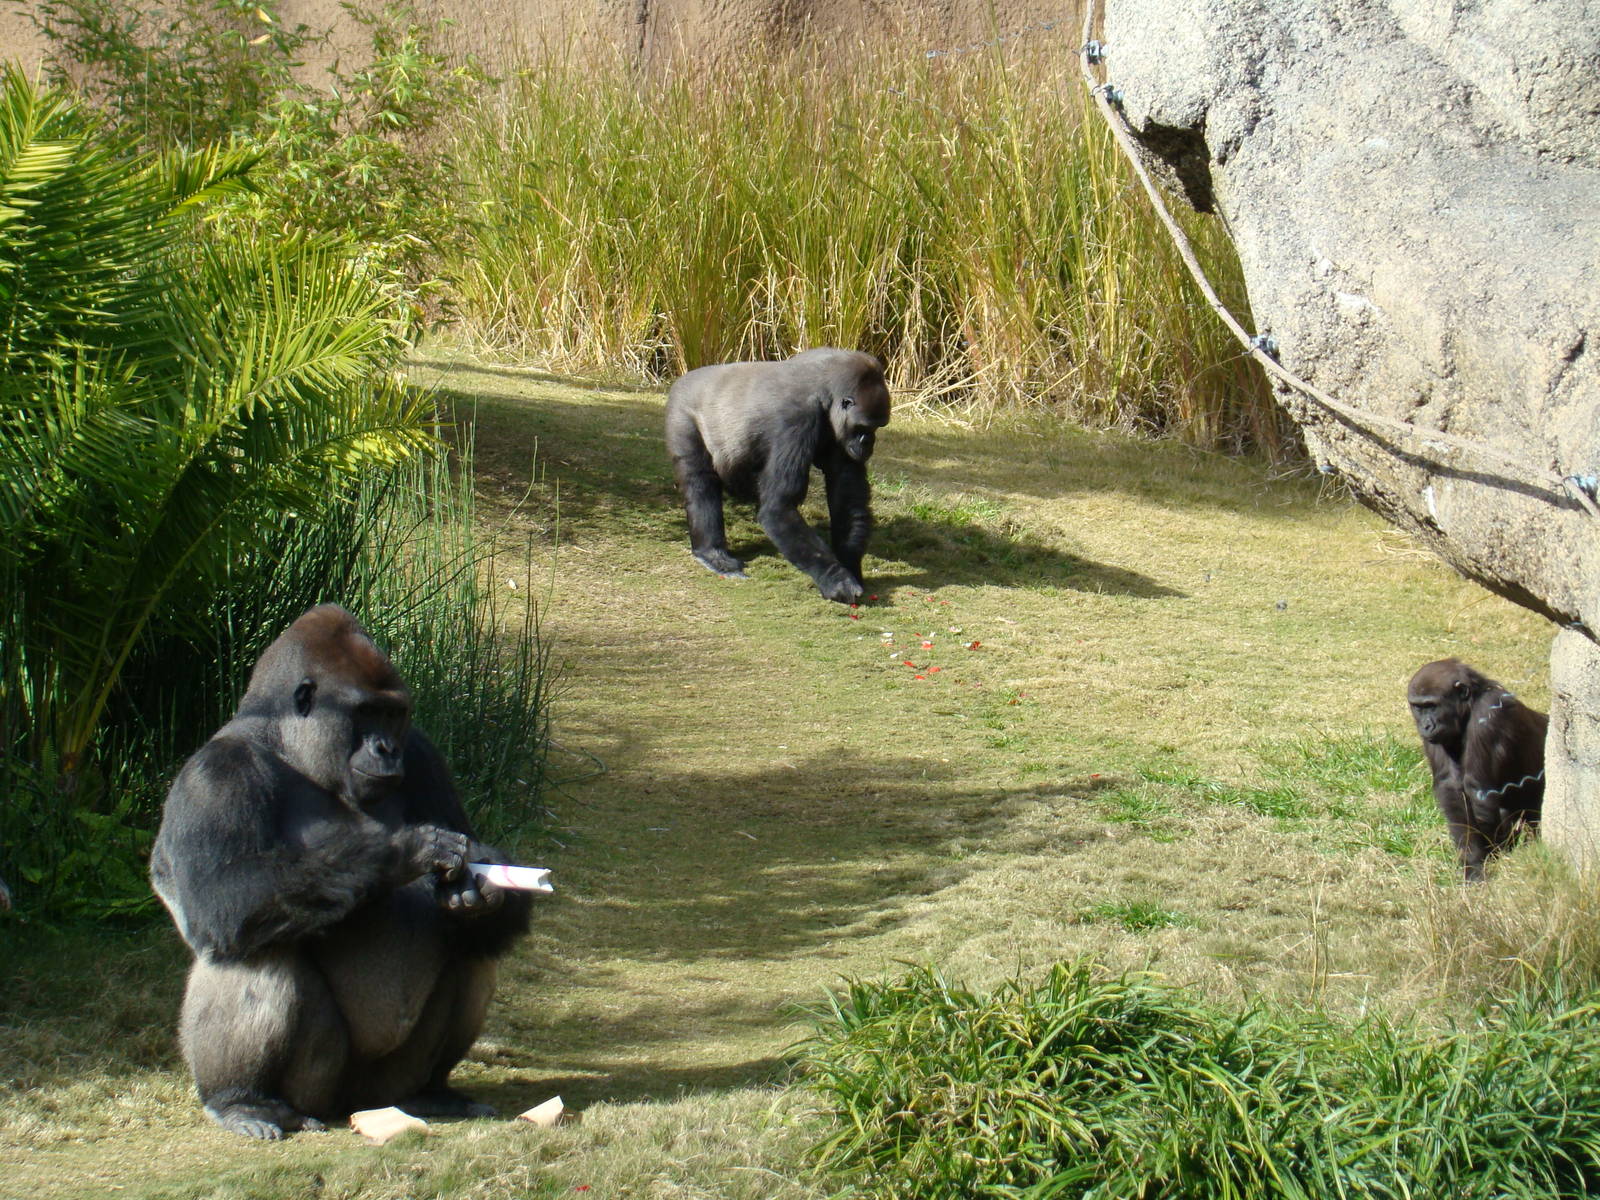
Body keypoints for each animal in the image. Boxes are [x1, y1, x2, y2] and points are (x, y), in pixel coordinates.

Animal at [149, 604, 533, 1139]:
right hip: (317, 1090)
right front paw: (400, 851)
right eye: (365, 713)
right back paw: (242, 1100)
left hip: (386, 1084)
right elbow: (220, 900)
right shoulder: (214, 775)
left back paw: (432, 1090)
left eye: (393, 714)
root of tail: (354, 1105)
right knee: (255, 946)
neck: (291, 749)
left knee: (473, 951)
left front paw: (479, 895)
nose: (386, 749)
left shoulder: (423, 751)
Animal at [665, 347, 891, 605]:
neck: (826, 394)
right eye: (864, 428)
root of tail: (681, 380)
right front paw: (836, 579)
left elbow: (847, 499)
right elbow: (779, 507)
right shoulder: (796, 420)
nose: (868, 444)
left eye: (877, 427)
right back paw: (712, 553)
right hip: (681, 413)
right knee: (700, 484)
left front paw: (850, 567)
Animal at [1408, 658, 1547, 881]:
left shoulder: (1489, 714)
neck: (1470, 704)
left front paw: (1482, 861)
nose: (1426, 726)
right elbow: (1451, 789)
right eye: (1418, 707)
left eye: (1431, 705)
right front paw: (1472, 861)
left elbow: (1478, 791)